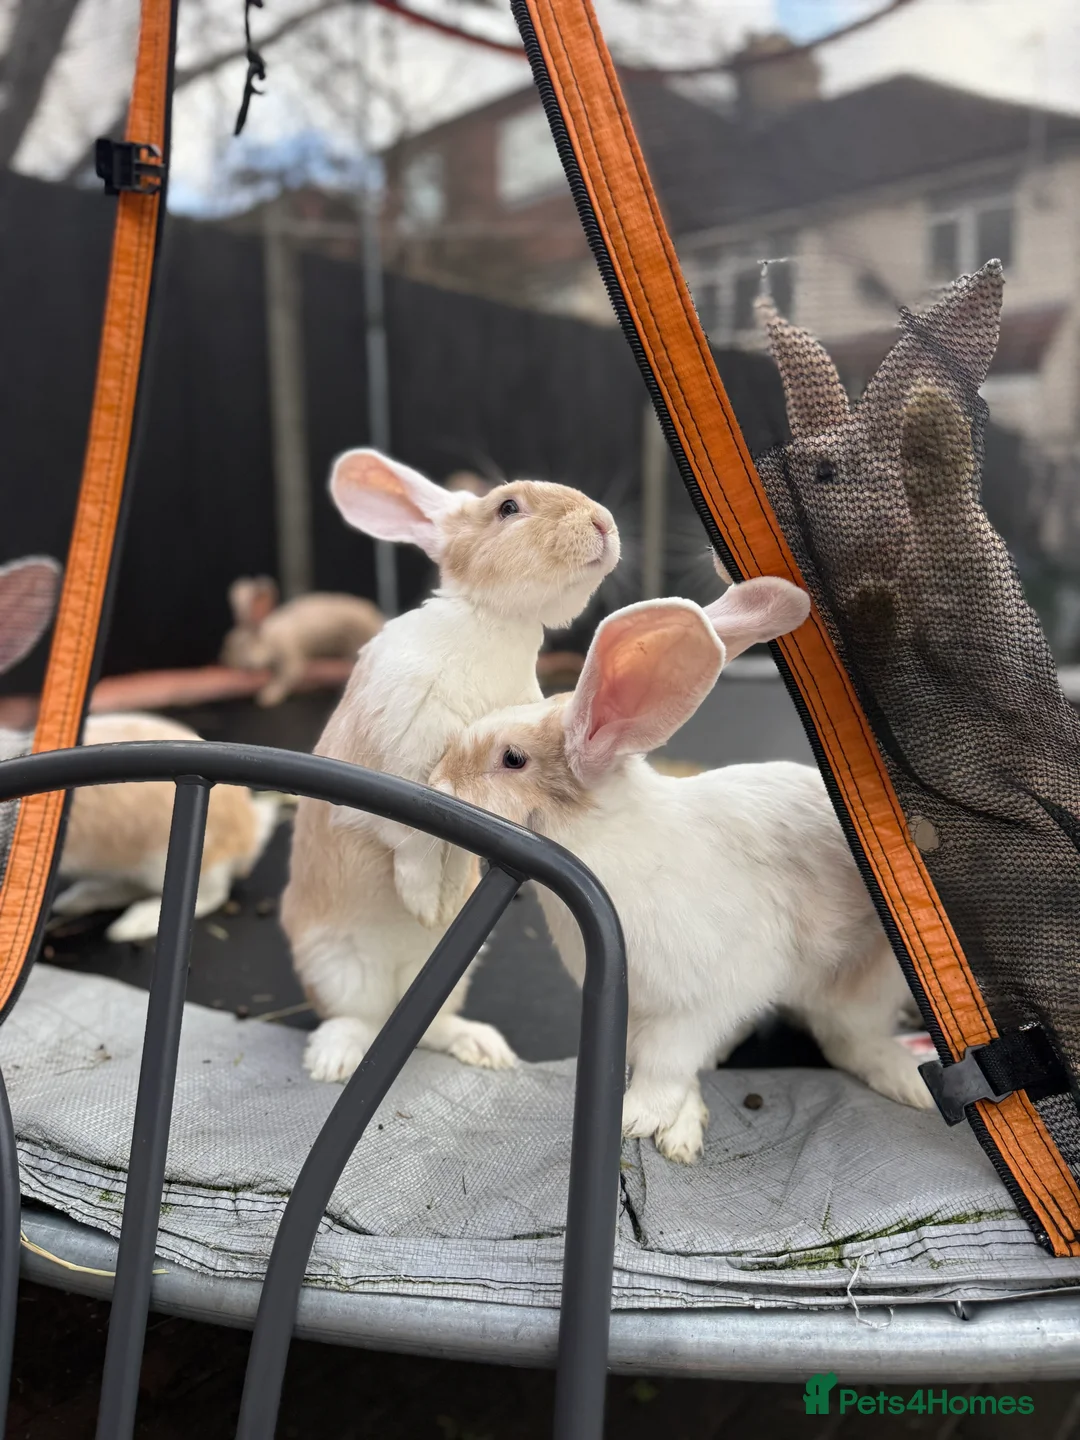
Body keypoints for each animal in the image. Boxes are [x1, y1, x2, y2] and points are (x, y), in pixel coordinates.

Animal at [221, 576, 385, 707]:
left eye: (239, 646)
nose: (225, 661)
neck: (268, 639)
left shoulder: (288, 654)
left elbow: (286, 675)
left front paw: (267, 697)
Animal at [280, 447, 619, 1084]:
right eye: (507, 507)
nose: (603, 523)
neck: (492, 622)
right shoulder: (399, 763)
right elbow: (412, 842)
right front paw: (422, 902)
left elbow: (463, 846)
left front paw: (447, 897)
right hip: (335, 963)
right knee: (357, 1019)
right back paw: (335, 1059)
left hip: (454, 976)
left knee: (431, 1027)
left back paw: (481, 1045)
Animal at [428, 582, 933, 1164]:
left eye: (512, 759)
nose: (435, 783)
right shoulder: (642, 1010)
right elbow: (669, 1062)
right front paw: (682, 1124)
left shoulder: (708, 998)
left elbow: (667, 1061)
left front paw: (637, 1117)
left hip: (861, 987)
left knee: (851, 1042)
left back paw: (912, 1081)